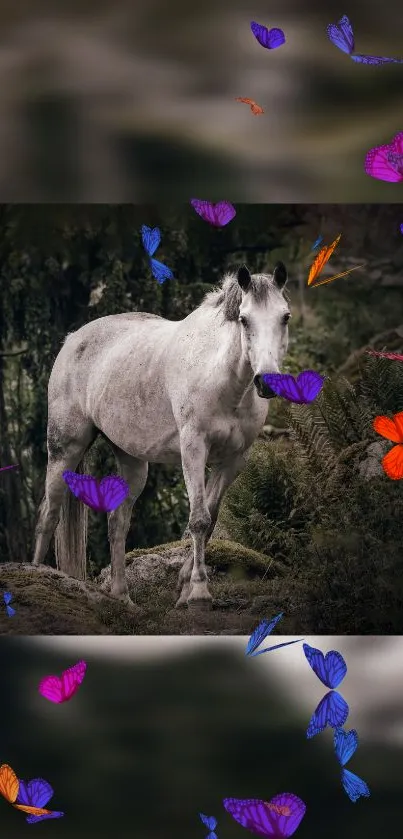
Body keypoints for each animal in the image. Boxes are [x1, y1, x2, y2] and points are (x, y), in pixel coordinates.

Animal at [31, 262, 290, 612]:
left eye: (285, 317)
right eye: (244, 319)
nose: (267, 381)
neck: (222, 380)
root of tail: (72, 339)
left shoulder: (233, 461)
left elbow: (210, 519)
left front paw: (183, 588)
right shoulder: (193, 449)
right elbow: (198, 519)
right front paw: (198, 592)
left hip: (132, 462)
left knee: (117, 521)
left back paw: (123, 597)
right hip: (65, 449)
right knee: (49, 514)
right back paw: (36, 576)